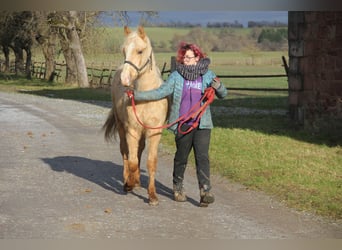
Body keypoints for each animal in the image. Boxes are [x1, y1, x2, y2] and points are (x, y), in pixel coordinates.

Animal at [103, 25, 170, 205]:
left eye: (140, 51)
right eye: (123, 51)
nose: (125, 79)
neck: (146, 96)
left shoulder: (154, 132)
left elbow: (151, 162)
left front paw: (152, 195)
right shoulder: (132, 130)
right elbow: (132, 161)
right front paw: (129, 184)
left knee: (139, 151)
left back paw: (138, 180)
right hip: (121, 127)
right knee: (125, 152)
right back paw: (128, 179)